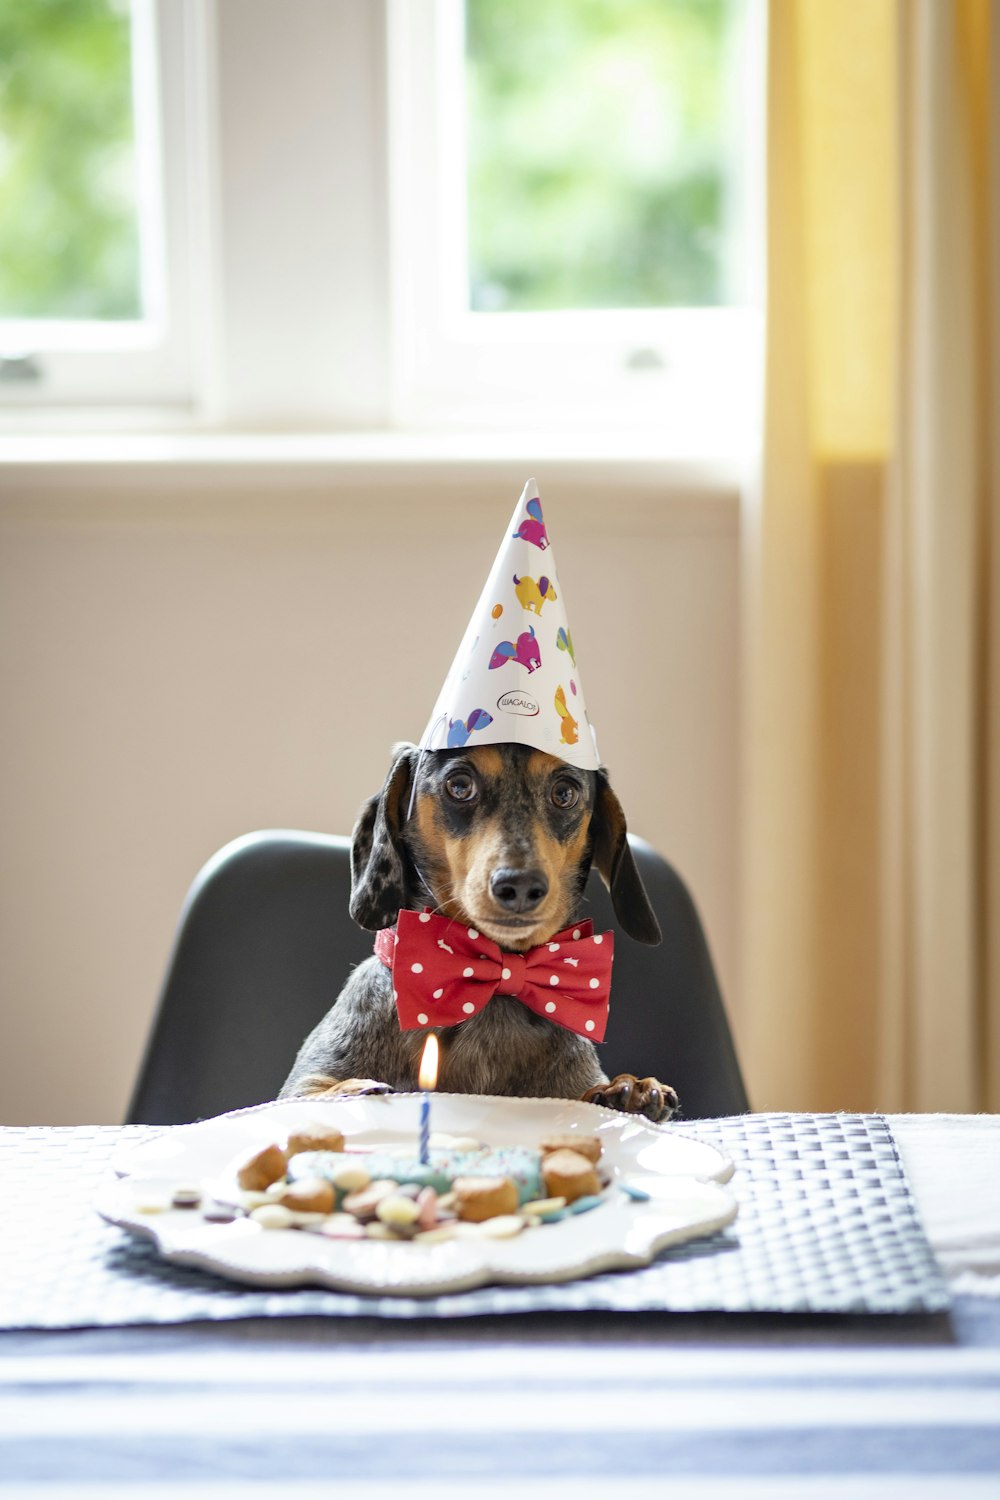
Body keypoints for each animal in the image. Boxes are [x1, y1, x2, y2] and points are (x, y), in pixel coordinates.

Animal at [281, 744, 680, 1122]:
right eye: (459, 786)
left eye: (565, 793)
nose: (520, 886)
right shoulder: (305, 1084)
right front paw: (354, 1089)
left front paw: (626, 1091)